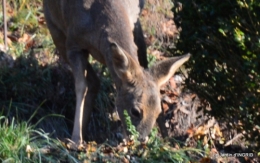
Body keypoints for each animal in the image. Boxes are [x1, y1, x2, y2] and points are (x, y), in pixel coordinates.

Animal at [43, 0, 191, 148]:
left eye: (158, 111)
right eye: (135, 111)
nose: (141, 140)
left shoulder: (136, 24)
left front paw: (167, 140)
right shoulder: (73, 44)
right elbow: (80, 87)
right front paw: (75, 141)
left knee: (95, 81)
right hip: (53, 27)